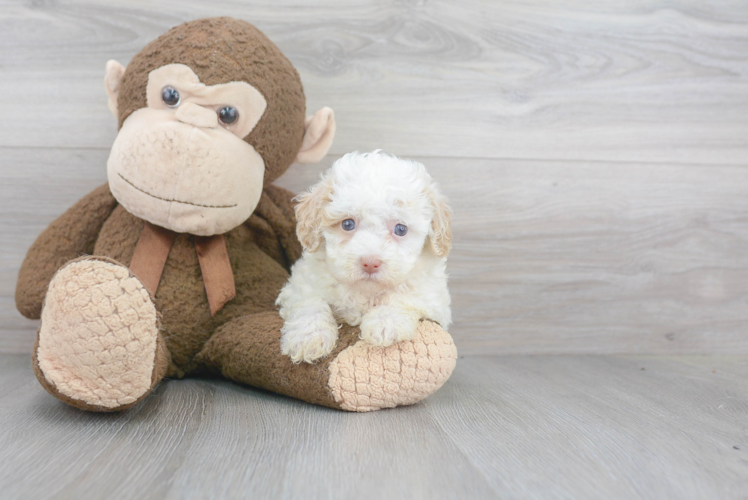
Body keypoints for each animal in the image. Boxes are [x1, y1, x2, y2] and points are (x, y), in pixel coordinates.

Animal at [274, 149, 450, 364]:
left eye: (401, 229)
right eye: (348, 224)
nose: (370, 263)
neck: (365, 292)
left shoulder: (433, 298)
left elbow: (404, 295)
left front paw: (386, 322)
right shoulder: (301, 283)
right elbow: (310, 302)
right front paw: (308, 337)